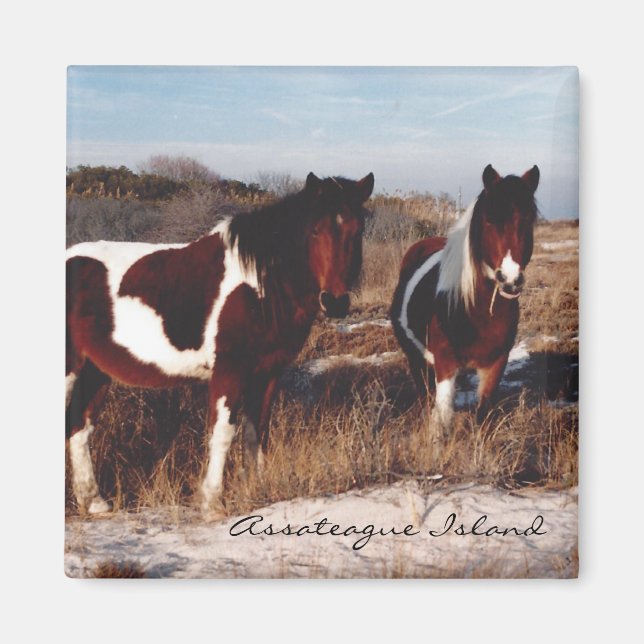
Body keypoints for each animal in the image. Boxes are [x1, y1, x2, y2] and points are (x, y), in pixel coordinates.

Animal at [66, 171, 374, 520]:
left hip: (95, 372)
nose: (335, 301)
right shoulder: (229, 372)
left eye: (357, 230)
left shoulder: (267, 374)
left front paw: (256, 488)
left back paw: (94, 502)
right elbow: (222, 432)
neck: (258, 286)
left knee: (79, 428)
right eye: (315, 229)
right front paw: (213, 502)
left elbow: (257, 433)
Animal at [390, 164, 539, 437]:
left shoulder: (496, 363)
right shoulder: (445, 364)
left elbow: (484, 412)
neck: (474, 310)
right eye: (489, 221)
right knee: (425, 396)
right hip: (416, 359)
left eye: (526, 221)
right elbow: (443, 416)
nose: (510, 279)